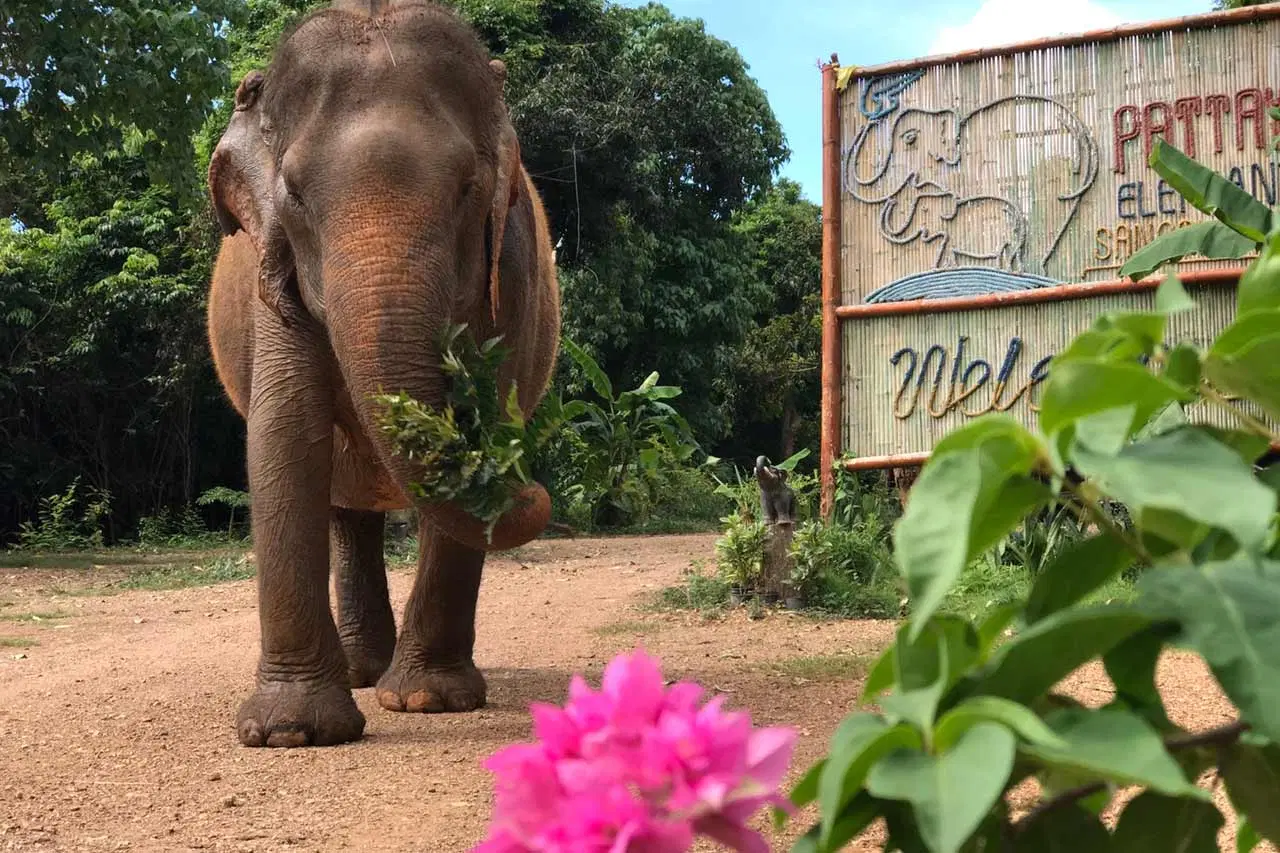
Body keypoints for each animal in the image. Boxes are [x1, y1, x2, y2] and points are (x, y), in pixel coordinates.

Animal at [204, 0, 560, 742]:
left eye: (466, 189)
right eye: (294, 194)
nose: (532, 488)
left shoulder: (512, 270)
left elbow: (484, 411)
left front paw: (428, 701)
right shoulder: (273, 278)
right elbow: (285, 431)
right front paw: (290, 733)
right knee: (347, 508)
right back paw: (362, 672)